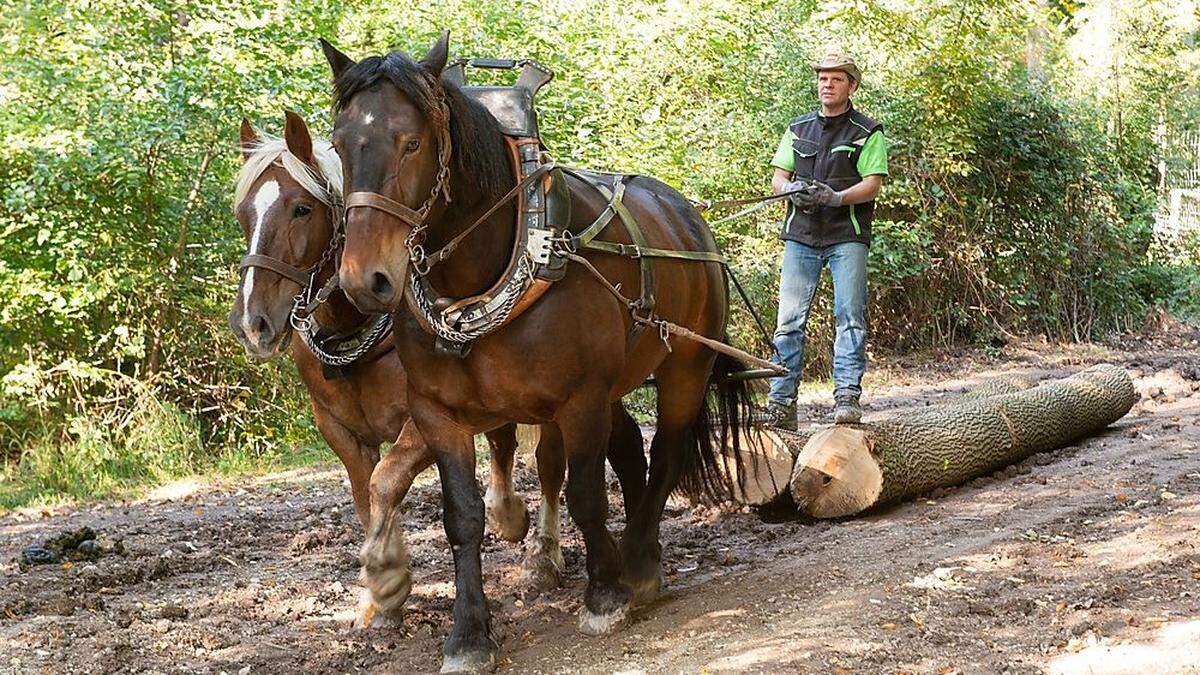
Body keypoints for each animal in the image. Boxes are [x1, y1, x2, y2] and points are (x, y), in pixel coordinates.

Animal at [230, 111, 576, 624]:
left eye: (301, 210)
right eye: (243, 214)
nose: (253, 324)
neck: (355, 327)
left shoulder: (422, 418)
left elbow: (385, 481)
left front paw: (386, 575)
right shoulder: (339, 429)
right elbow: (364, 496)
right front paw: (376, 598)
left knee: (549, 463)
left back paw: (543, 554)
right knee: (502, 441)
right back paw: (506, 512)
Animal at [319, 30, 748, 667]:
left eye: (412, 142)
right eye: (339, 144)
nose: (362, 280)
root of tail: (687, 215)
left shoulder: (580, 399)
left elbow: (586, 494)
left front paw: (604, 596)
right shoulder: (437, 414)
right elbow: (462, 518)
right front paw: (469, 634)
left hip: (686, 369)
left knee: (666, 453)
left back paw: (639, 565)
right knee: (633, 453)